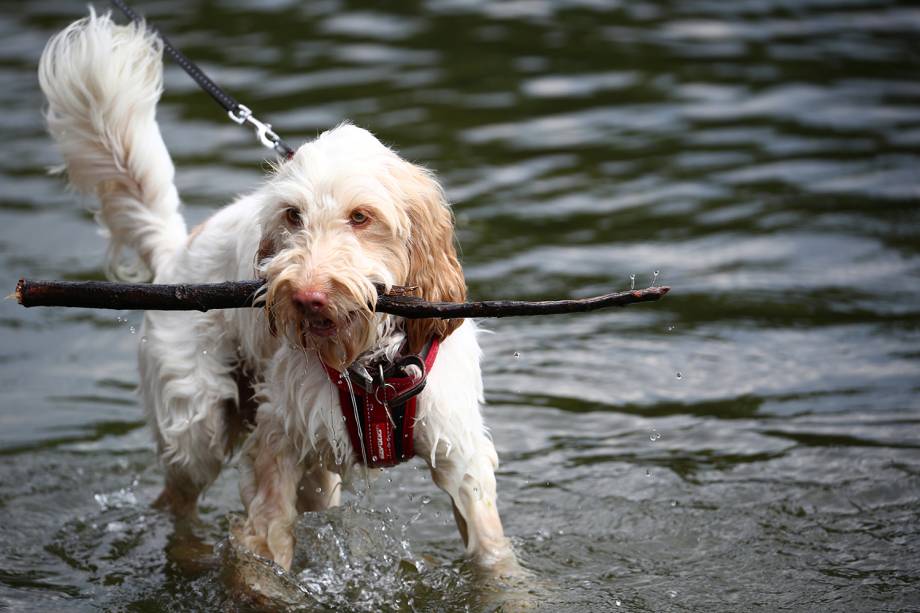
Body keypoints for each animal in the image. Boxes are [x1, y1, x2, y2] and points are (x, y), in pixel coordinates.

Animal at [39, 13, 516, 572]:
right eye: (292, 216)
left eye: (361, 217)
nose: (307, 297)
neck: (370, 363)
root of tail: (177, 250)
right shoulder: (277, 441)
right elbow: (267, 544)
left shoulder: (460, 453)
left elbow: (493, 555)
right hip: (195, 428)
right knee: (177, 501)